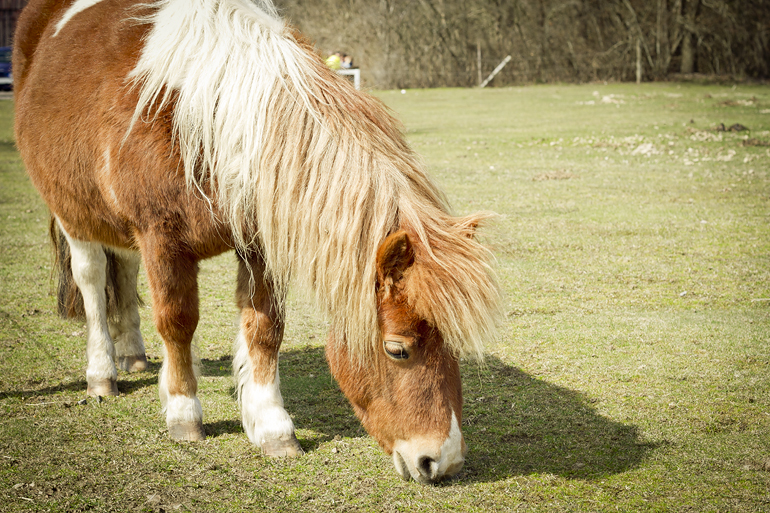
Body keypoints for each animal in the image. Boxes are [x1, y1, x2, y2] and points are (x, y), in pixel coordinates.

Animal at [16, 0, 504, 482]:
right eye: (397, 350)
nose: (443, 460)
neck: (201, 119)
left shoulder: (258, 244)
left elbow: (265, 329)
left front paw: (272, 427)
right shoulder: (161, 239)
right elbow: (176, 322)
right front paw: (183, 414)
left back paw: (132, 354)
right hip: (74, 215)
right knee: (93, 283)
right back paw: (102, 374)